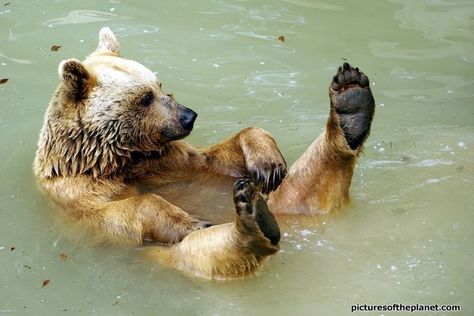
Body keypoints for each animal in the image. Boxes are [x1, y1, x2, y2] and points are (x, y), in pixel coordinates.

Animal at [33, 26, 374, 278]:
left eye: (159, 84)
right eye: (144, 98)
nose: (188, 116)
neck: (117, 158)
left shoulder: (171, 162)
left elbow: (217, 157)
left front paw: (268, 163)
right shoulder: (78, 196)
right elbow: (126, 210)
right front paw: (191, 221)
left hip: (288, 197)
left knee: (307, 182)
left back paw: (351, 102)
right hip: (166, 257)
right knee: (202, 253)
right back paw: (254, 222)